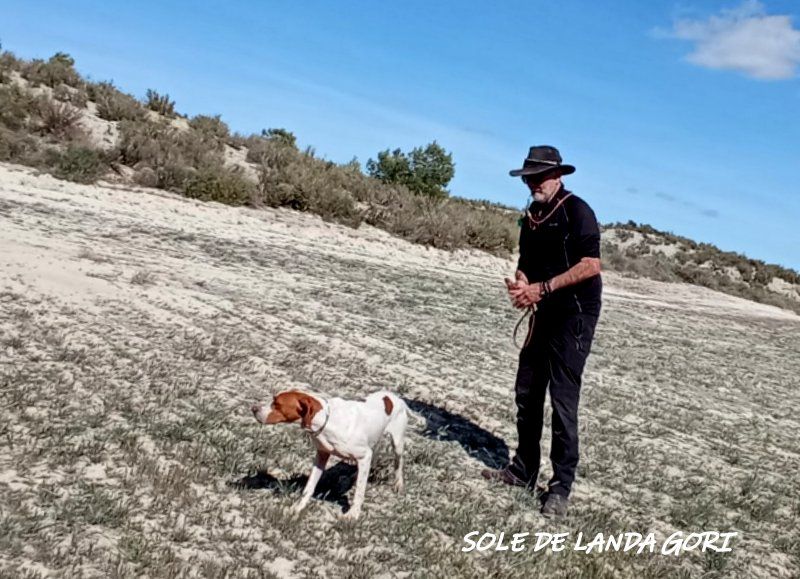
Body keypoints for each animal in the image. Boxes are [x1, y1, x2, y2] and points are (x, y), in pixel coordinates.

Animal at [251, 389, 409, 520]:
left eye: (277, 404)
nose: (253, 409)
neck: (326, 421)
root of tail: (395, 397)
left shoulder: (364, 455)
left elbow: (359, 492)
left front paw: (353, 514)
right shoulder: (321, 456)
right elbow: (309, 488)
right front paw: (297, 507)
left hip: (397, 444)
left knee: (398, 463)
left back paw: (398, 484)